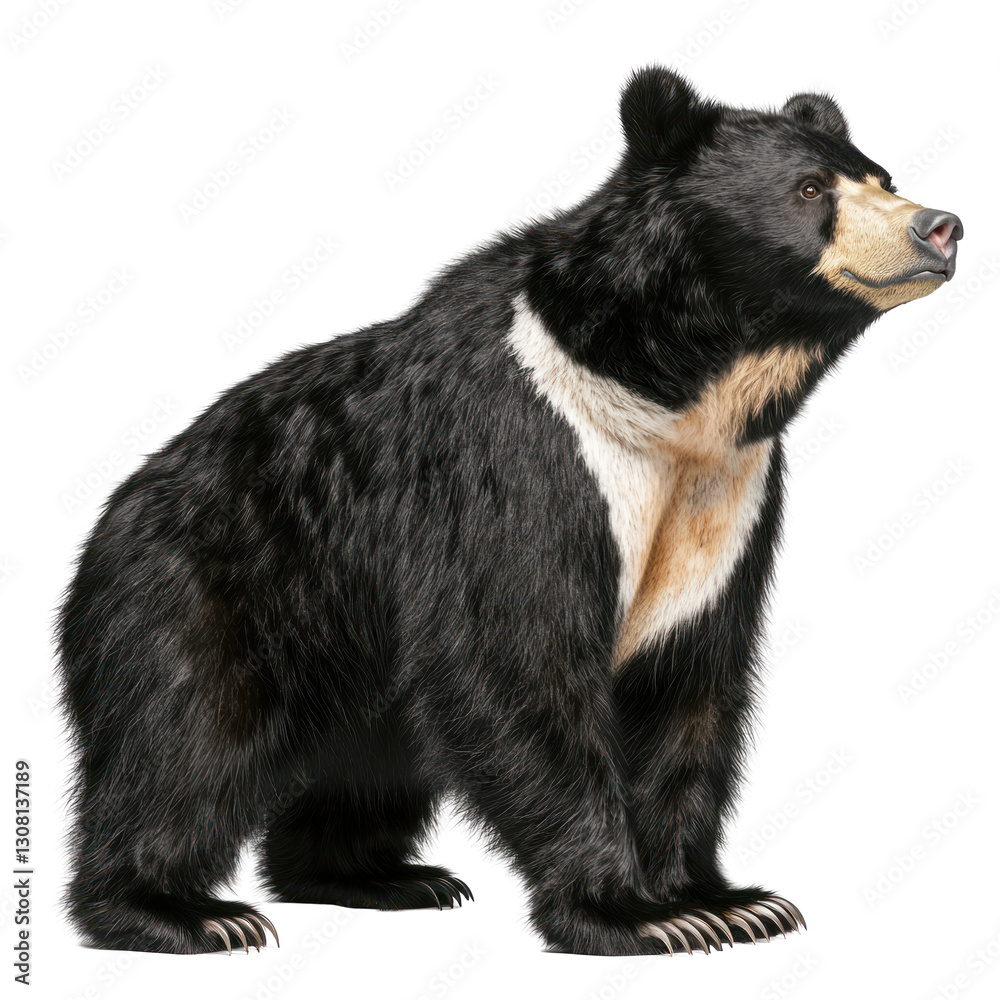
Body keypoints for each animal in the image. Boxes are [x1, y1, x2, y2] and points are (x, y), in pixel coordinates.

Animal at [57, 66, 962, 957]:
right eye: (810, 188)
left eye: (881, 177)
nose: (941, 228)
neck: (671, 388)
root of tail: (114, 517)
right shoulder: (519, 456)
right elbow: (520, 658)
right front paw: (629, 912)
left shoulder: (726, 498)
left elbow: (688, 683)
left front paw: (723, 902)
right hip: (214, 589)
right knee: (185, 742)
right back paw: (180, 911)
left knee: (368, 760)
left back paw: (380, 877)